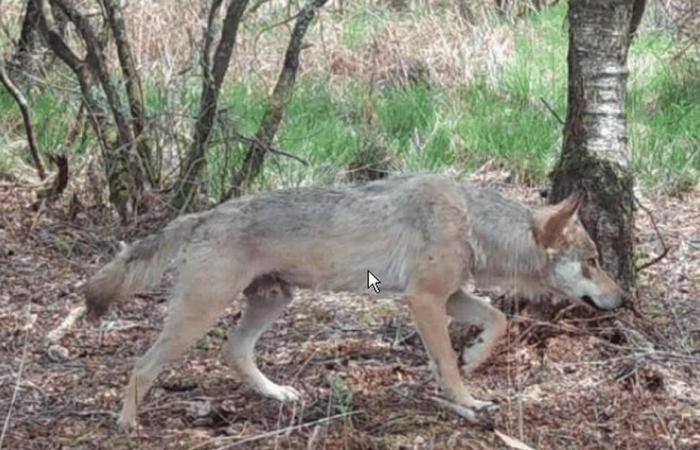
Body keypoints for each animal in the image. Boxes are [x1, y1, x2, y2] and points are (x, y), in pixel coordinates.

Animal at [85, 174, 628, 430]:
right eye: (594, 261)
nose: (622, 299)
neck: (472, 222)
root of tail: (201, 216)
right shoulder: (425, 300)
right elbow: (446, 363)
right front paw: (468, 401)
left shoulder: (451, 294)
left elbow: (497, 321)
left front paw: (475, 359)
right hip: (199, 315)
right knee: (142, 365)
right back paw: (127, 423)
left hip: (272, 303)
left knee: (233, 352)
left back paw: (278, 395)